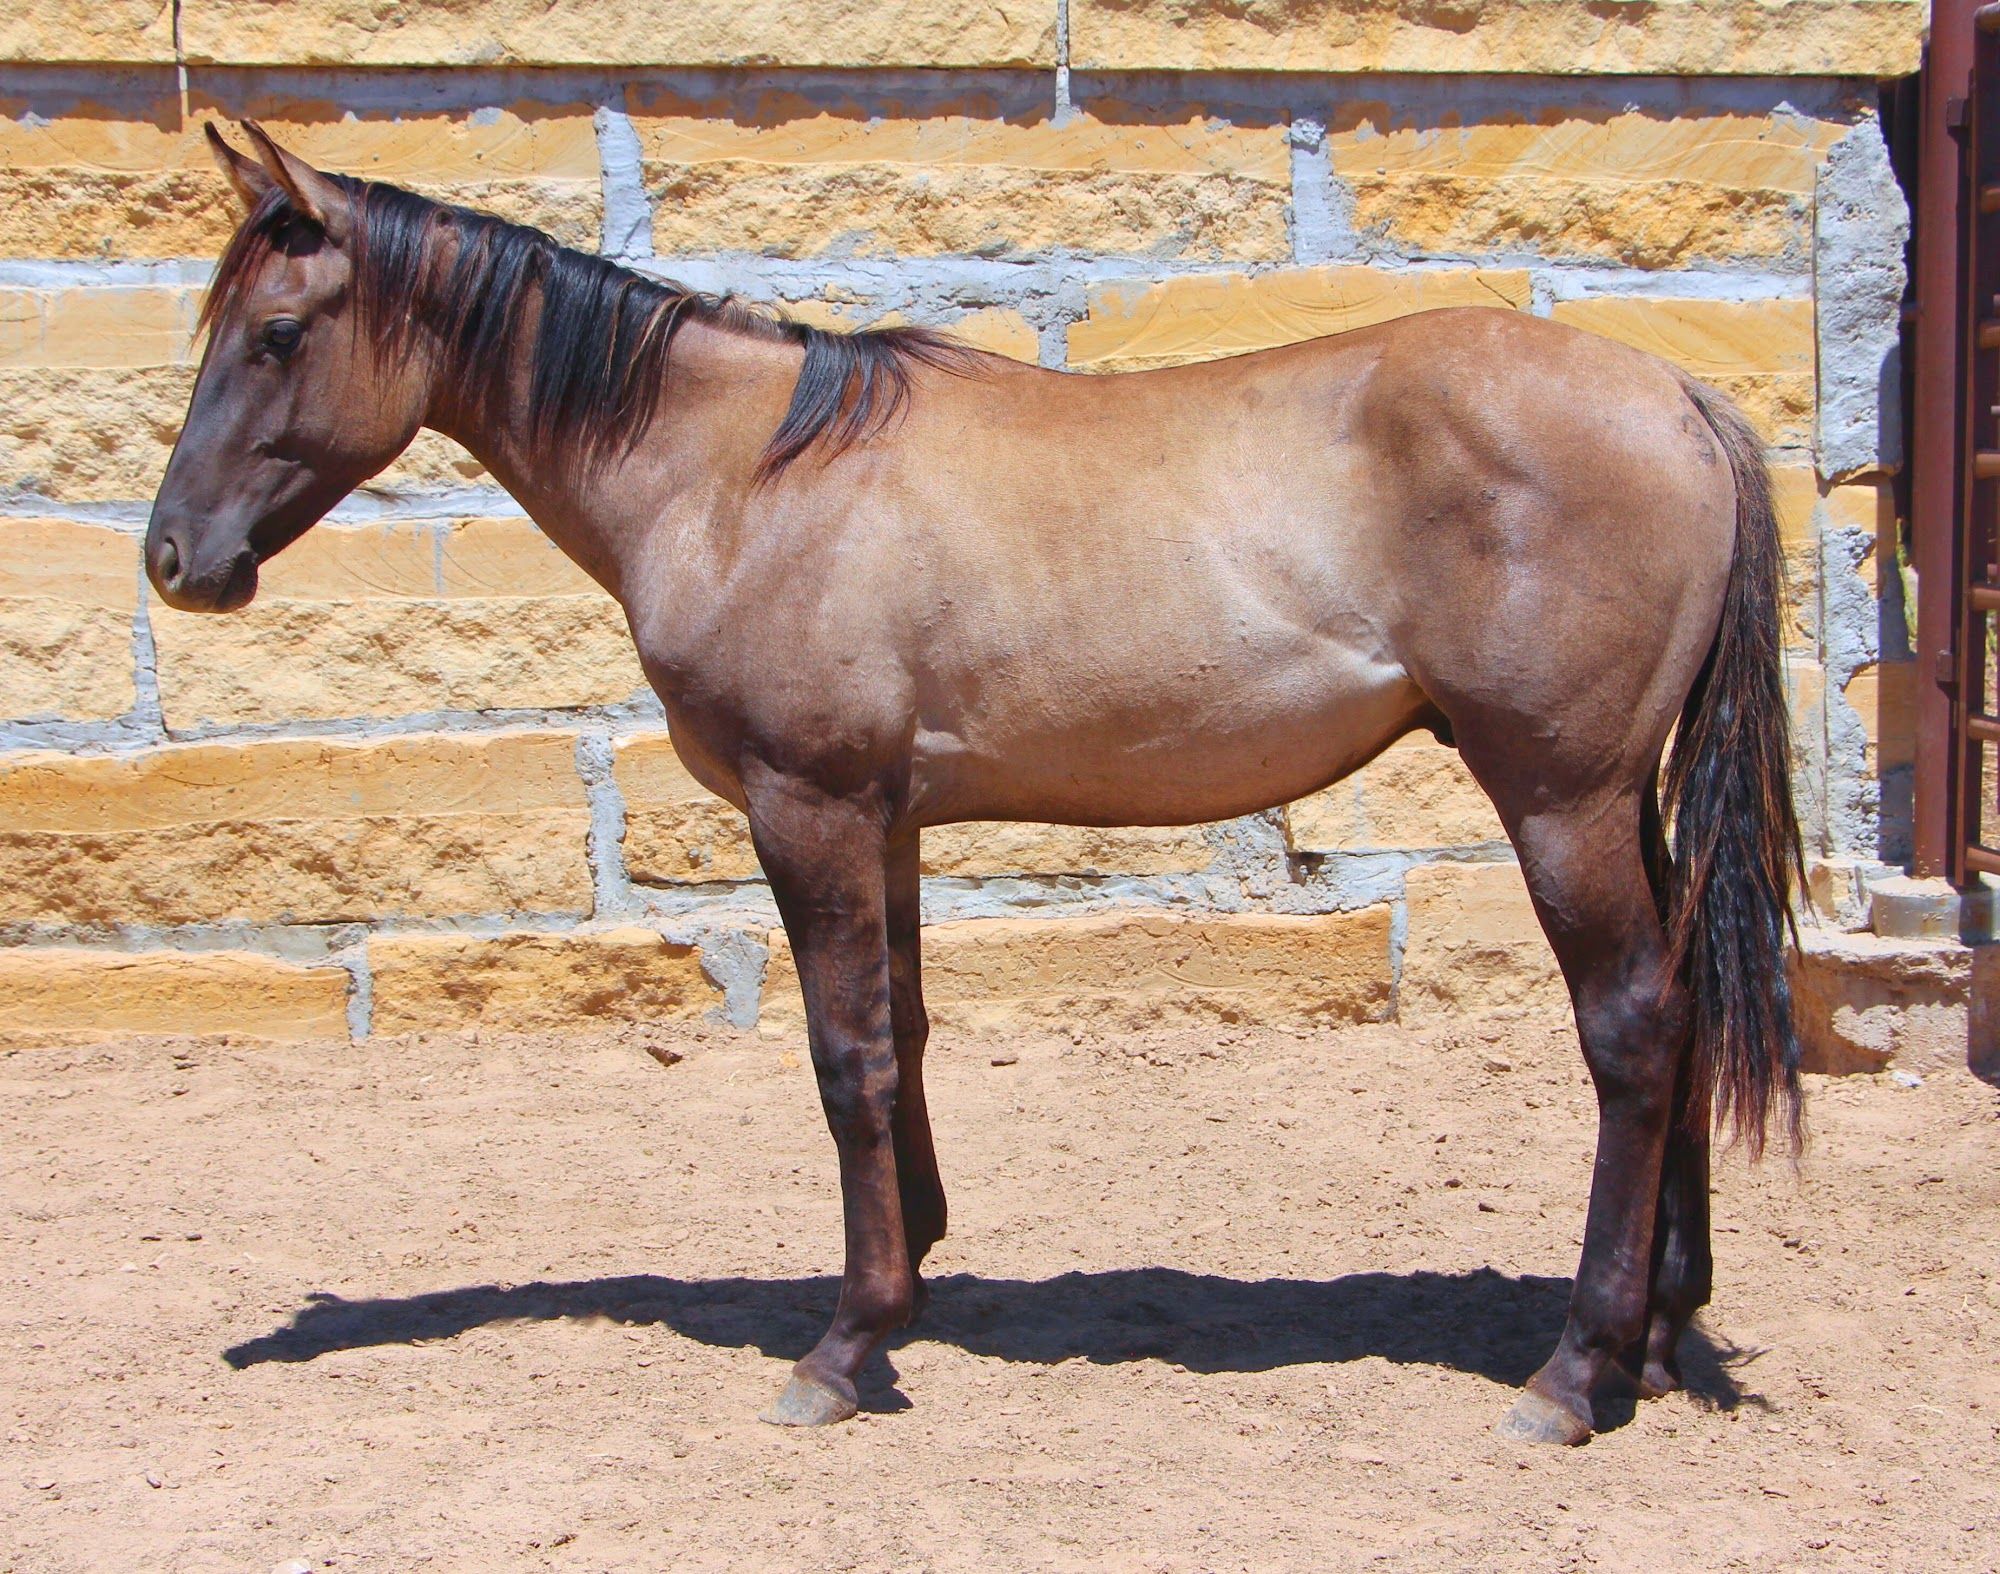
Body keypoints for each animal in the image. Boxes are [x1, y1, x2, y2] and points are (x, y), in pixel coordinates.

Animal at [146, 123, 1802, 1446]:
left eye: (277, 334)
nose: (174, 558)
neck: (739, 472)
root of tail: (1677, 397)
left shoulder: (806, 807)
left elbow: (845, 1056)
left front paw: (846, 1340)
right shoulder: (881, 819)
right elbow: (905, 1033)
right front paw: (918, 1273)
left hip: (1560, 798)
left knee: (1633, 1028)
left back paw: (1575, 1373)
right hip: (1620, 803)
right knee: (1683, 999)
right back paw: (1660, 1331)